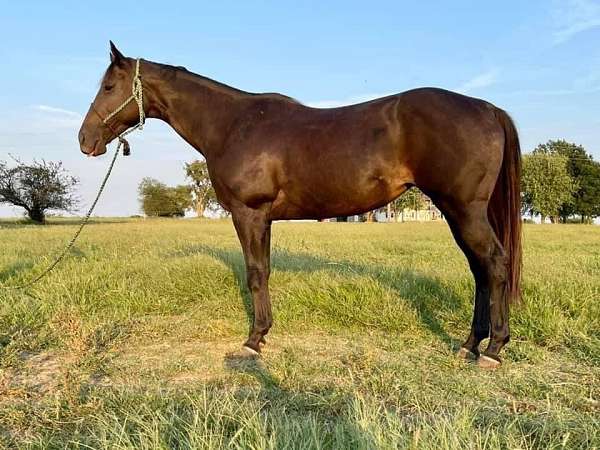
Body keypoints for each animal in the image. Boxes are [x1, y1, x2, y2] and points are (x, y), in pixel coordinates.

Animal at [78, 43, 520, 370]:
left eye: (108, 86)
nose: (85, 140)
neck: (233, 124)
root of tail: (486, 108)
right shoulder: (264, 219)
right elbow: (265, 271)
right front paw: (263, 334)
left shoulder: (249, 213)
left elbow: (256, 274)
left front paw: (253, 341)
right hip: (457, 212)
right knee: (480, 271)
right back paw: (470, 344)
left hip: (464, 210)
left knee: (495, 264)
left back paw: (493, 349)